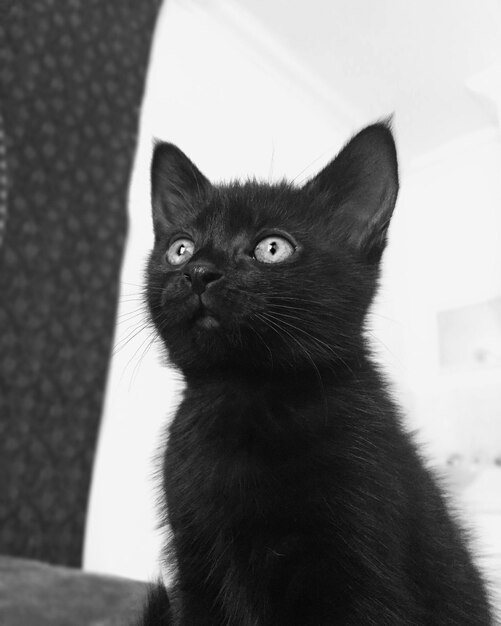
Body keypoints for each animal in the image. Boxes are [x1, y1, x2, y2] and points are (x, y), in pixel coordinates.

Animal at [140, 123, 492, 624]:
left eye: (272, 248)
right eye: (179, 248)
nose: (199, 272)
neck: (243, 396)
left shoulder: (357, 568)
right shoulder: (194, 571)